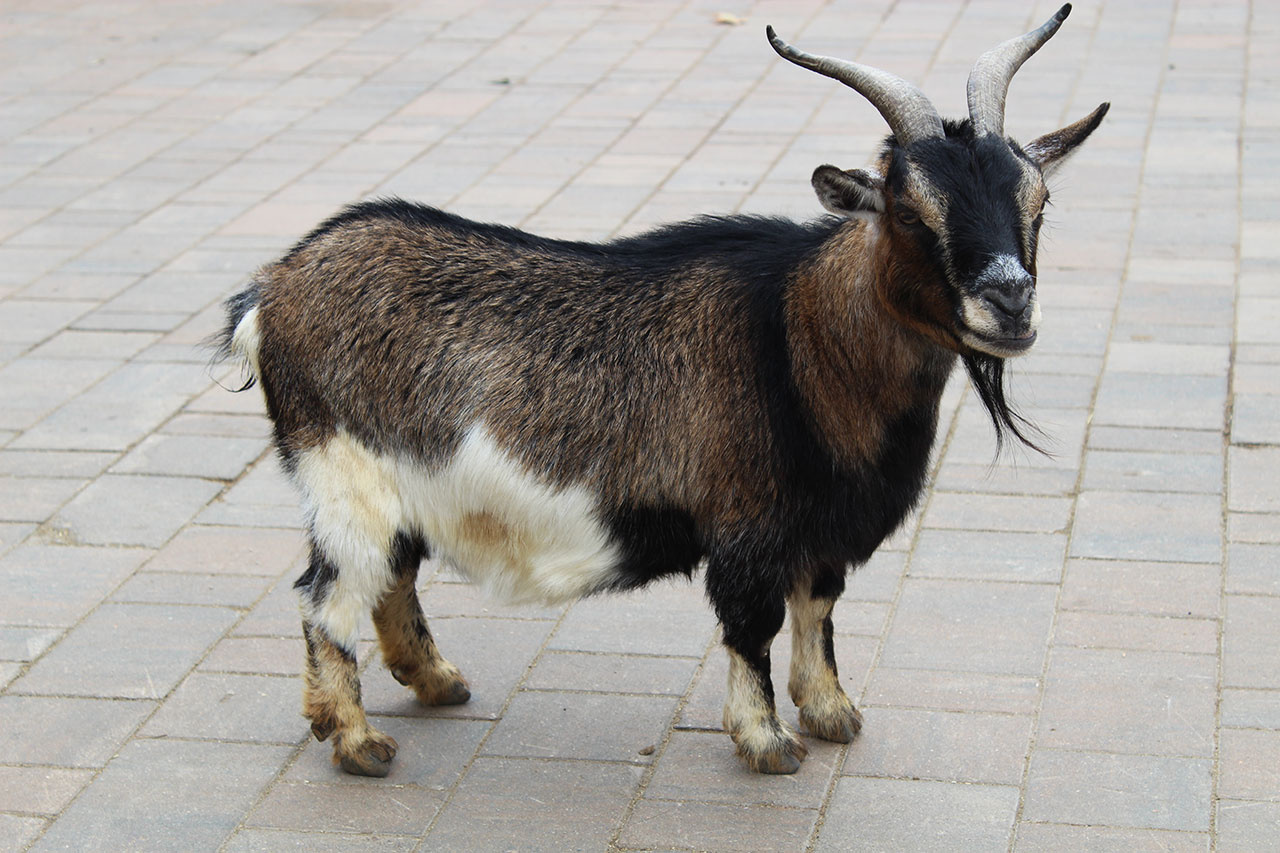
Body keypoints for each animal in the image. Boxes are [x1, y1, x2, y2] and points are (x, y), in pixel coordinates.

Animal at [216, 4, 1106, 776]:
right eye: (908, 208)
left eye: (1038, 200)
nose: (1010, 300)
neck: (801, 337)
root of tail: (272, 289)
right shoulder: (750, 524)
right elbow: (754, 624)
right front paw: (767, 741)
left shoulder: (822, 529)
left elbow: (818, 609)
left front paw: (831, 713)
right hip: (346, 474)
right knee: (326, 597)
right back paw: (357, 741)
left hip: (394, 486)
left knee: (390, 575)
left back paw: (439, 683)